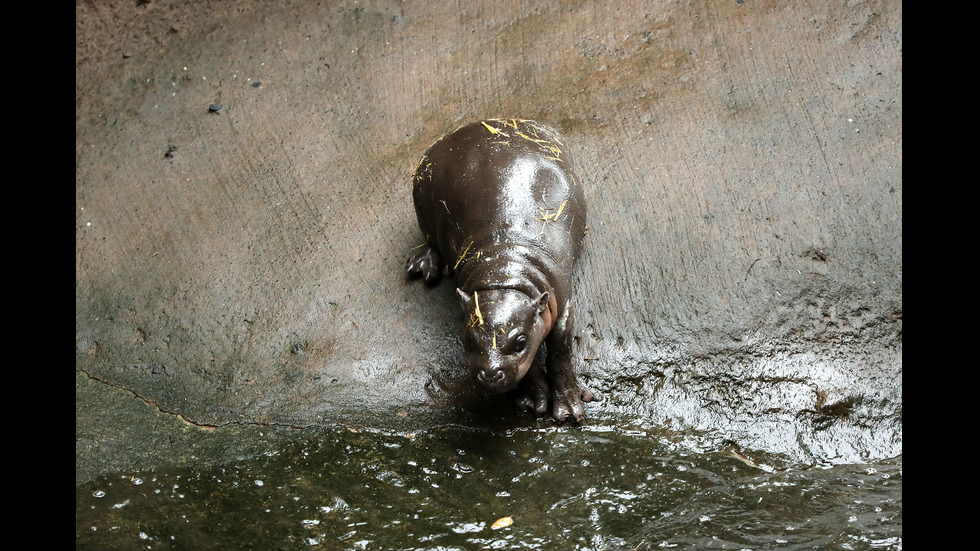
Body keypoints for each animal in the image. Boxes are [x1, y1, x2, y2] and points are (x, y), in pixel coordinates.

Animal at [404, 119, 592, 422]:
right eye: (468, 341)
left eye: (520, 342)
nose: (491, 374)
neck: (505, 273)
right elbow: (530, 368)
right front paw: (533, 402)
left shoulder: (562, 304)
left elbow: (560, 353)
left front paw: (569, 412)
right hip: (423, 205)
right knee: (430, 239)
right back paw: (423, 268)